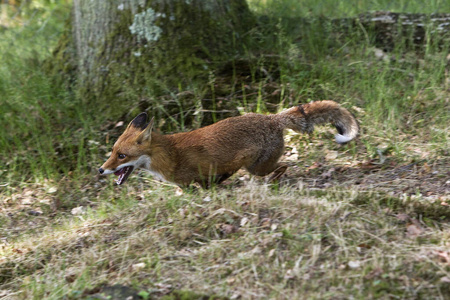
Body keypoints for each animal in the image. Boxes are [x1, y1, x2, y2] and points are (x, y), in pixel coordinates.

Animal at [99, 101, 358, 185]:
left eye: (122, 156)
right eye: (112, 152)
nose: (100, 170)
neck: (169, 155)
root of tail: (271, 118)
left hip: (255, 166)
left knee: (284, 166)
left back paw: (273, 181)